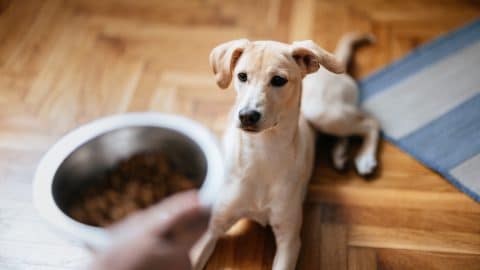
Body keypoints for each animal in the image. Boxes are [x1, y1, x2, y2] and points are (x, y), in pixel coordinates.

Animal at [191, 33, 378, 270]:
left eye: (279, 80)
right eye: (241, 76)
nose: (247, 115)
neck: (263, 153)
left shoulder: (289, 239)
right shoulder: (212, 226)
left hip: (323, 113)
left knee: (370, 123)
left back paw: (365, 158)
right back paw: (340, 154)